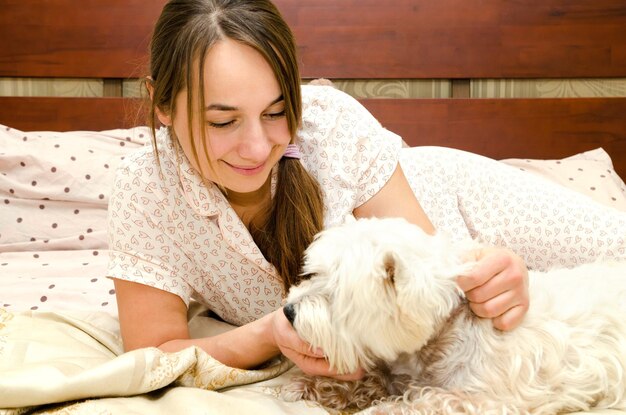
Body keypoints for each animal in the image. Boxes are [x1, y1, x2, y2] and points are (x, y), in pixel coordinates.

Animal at [280, 218, 624, 415]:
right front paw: (310, 386)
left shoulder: (488, 401)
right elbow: (372, 381)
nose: (288, 312)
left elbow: (422, 403)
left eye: (338, 294)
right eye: (314, 274)